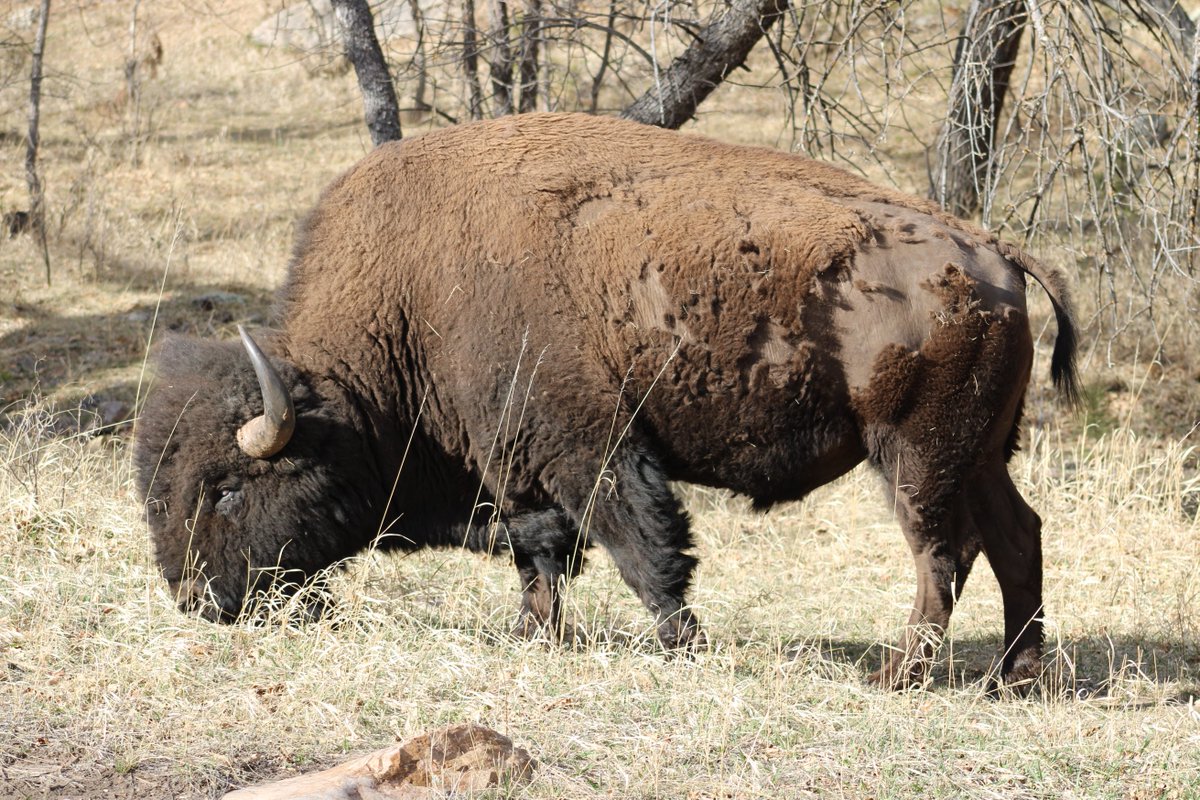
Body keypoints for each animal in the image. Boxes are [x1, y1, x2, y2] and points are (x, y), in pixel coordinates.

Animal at [135, 113, 1078, 688]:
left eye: (226, 489)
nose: (196, 601)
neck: (406, 299)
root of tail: (993, 251)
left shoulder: (591, 446)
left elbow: (643, 547)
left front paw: (683, 645)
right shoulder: (513, 462)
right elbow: (541, 552)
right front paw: (536, 635)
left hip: (914, 455)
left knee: (941, 553)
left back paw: (901, 675)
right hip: (979, 454)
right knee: (1016, 536)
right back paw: (1014, 676)